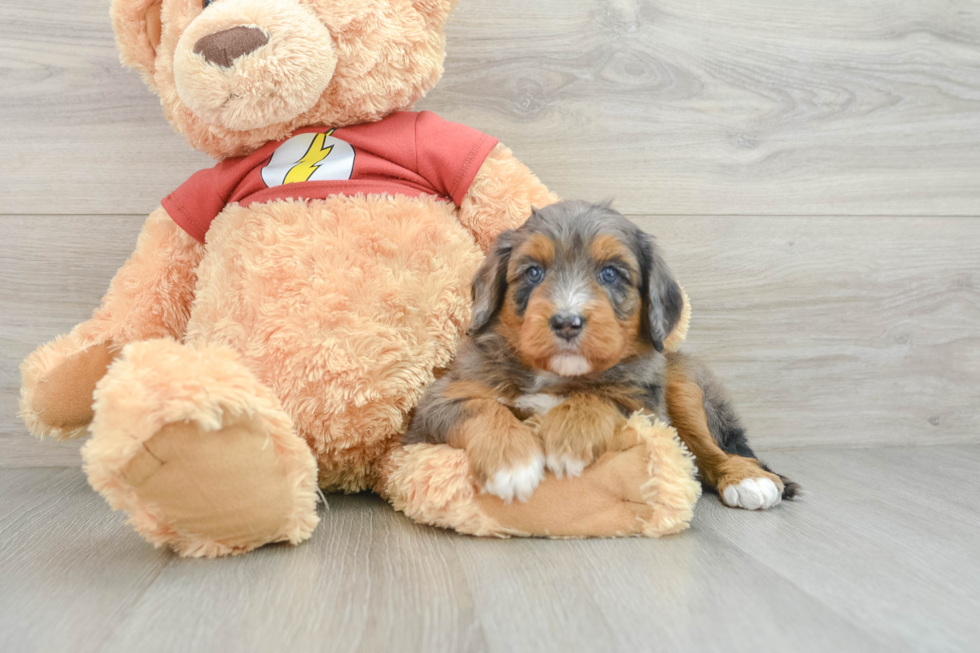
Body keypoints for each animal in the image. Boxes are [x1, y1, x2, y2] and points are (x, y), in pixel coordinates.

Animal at [404, 201, 796, 506]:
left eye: (610, 273)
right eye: (533, 272)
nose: (566, 322)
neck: (557, 375)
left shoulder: (644, 402)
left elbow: (600, 397)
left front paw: (568, 439)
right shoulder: (440, 399)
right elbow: (483, 408)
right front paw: (511, 463)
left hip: (683, 388)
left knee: (709, 449)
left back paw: (746, 477)